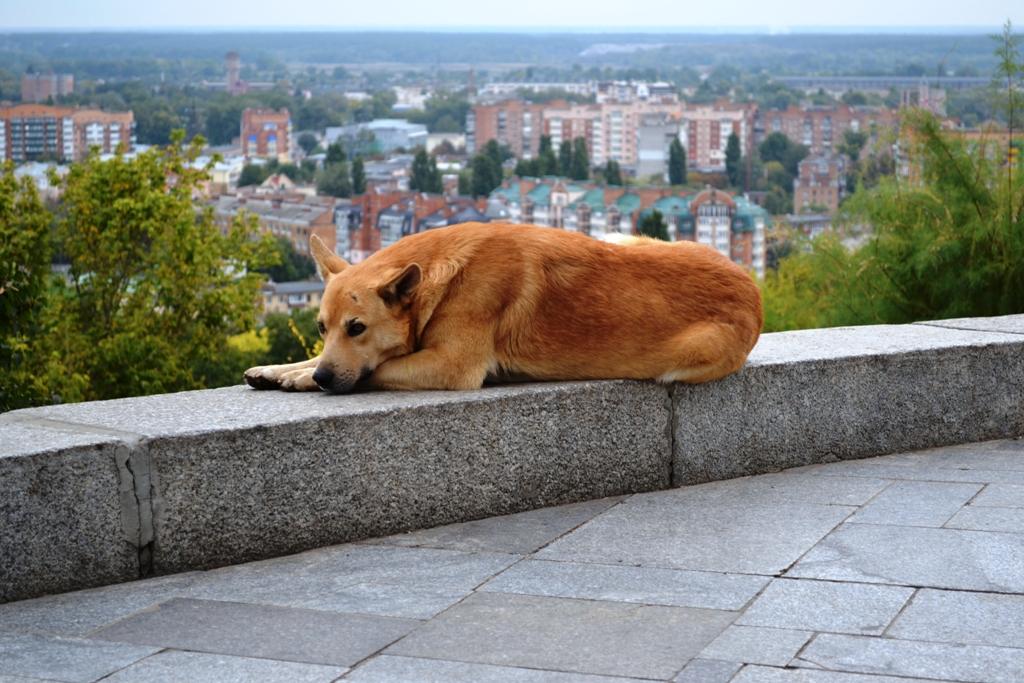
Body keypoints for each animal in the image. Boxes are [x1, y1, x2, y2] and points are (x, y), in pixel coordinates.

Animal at [245, 223, 761, 395]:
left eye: (358, 328)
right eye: (321, 326)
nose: (325, 380)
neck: (444, 274)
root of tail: (751, 287)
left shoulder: (451, 366)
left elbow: (377, 368)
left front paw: (300, 379)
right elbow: (318, 359)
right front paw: (282, 370)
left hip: (692, 354)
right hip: (622, 238)